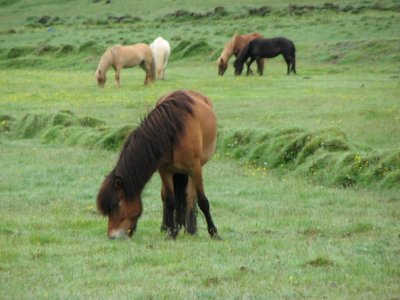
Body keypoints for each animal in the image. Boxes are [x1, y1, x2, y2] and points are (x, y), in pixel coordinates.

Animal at [97, 90, 222, 240]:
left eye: (116, 205)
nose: (112, 236)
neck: (172, 133)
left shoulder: (195, 169)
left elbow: (203, 201)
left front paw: (213, 232)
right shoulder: (164, 170)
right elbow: (170, 200)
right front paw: (172, 233)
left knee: (190, 196)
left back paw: (191, 229)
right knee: (166, 196)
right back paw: (166, 226)